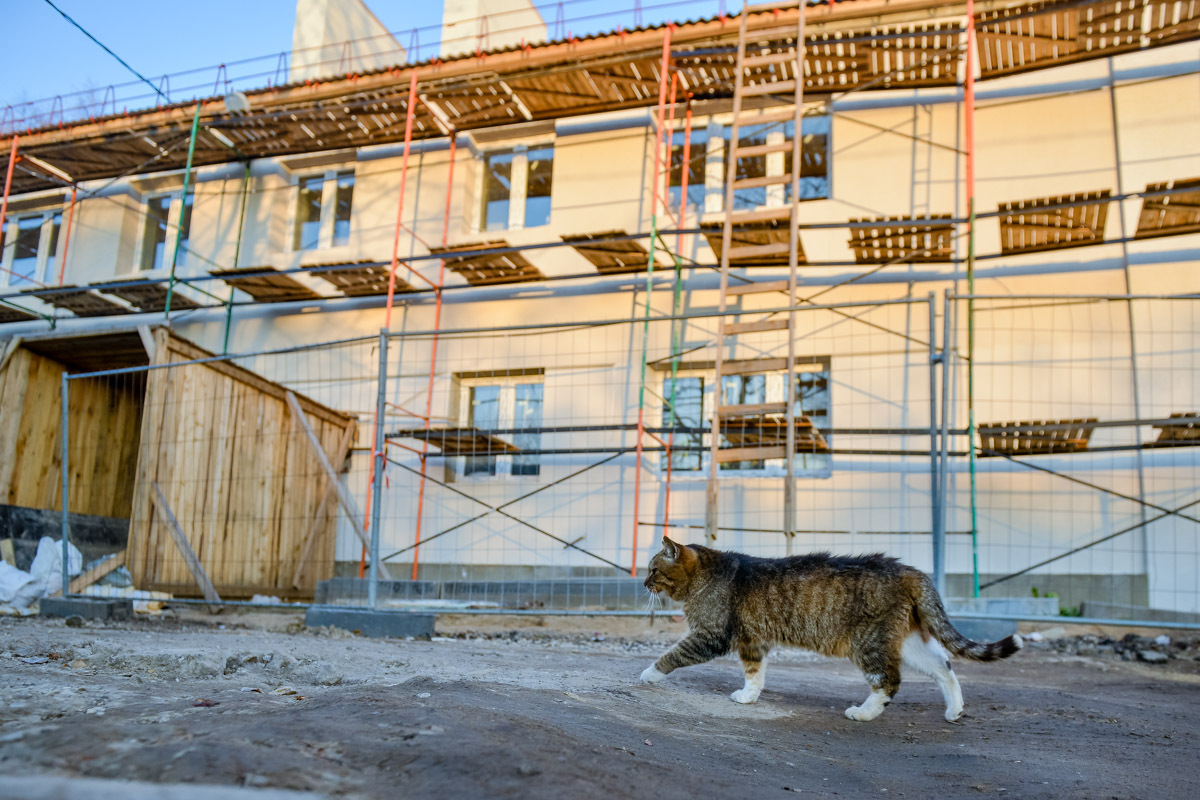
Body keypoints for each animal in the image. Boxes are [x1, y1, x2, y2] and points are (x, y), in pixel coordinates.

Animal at [638, 542, 1022, 724]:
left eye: (653, 569)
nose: (642, 583)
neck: (706, 576)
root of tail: (907, 569)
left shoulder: (711, 636)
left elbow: (673, 654)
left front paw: (648, 674)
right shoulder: (753, 641)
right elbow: (754, 672)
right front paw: (748, 696)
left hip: (869, 643)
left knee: (889, 681)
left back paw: (864, 713)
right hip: (907, 641)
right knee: (944, 666)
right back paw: (954, 710)